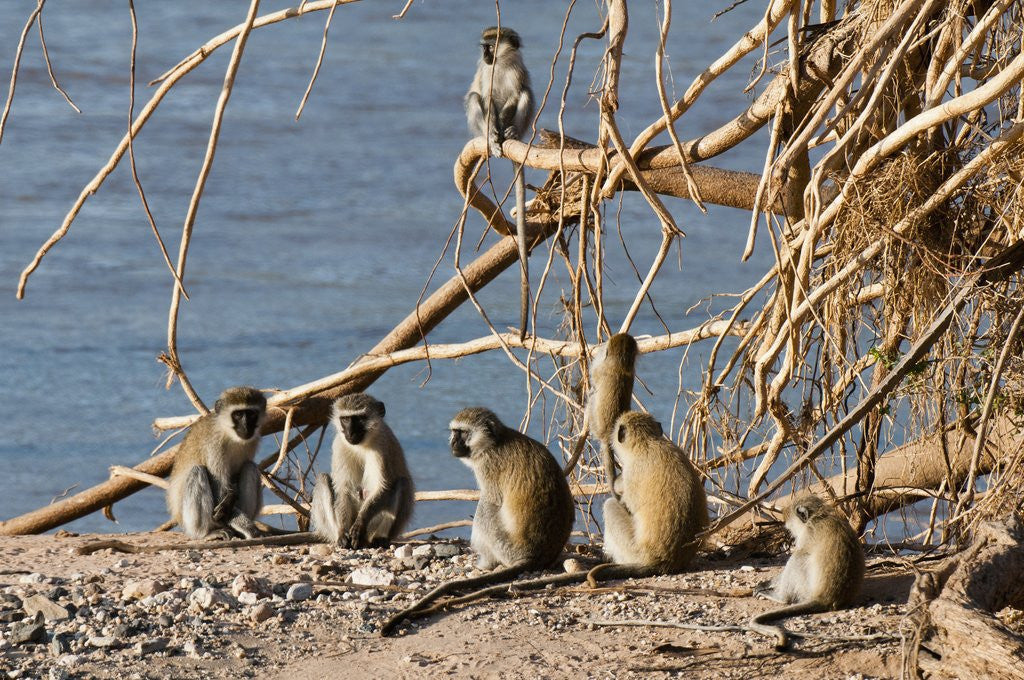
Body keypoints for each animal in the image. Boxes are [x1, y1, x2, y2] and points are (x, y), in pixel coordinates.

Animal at [166, 386, 267, 541]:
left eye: (251, 414)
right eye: (238, 415)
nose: (246, 426)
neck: (228, 434)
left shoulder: (251, 442)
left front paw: (231, 501)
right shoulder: (214, 444)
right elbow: (219, 490)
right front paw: (248, 527)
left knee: (249, 467)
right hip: (189, 521)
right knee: (197, 471)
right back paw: (205, 533)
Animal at [309, 393, 414, 549]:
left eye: (360, 418)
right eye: (345, 419)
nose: (350, 432)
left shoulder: (382, 446)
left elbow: (382, 487)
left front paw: (359, 524)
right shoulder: (339, 444)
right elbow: (344, 489)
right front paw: (342, 532)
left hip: (373, 528)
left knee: (402, 483)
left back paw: (380, 538)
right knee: (323, 478)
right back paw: (339, 537)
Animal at [379, 407, 573, 636]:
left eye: (462, 433)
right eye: (454, 432)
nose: (452, 443)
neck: (495, 442)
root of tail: (535, 556)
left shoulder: (487, 466)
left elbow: (493, 500)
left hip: (506, 546)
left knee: (485, 507)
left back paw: (485, 563)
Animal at [749, 492, 865, 650]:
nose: (791, 534)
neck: (818, 517)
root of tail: (825, 598)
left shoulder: (807, 535)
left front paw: (766, 584)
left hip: (805, 588)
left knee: (798, 557)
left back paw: (781, 597)